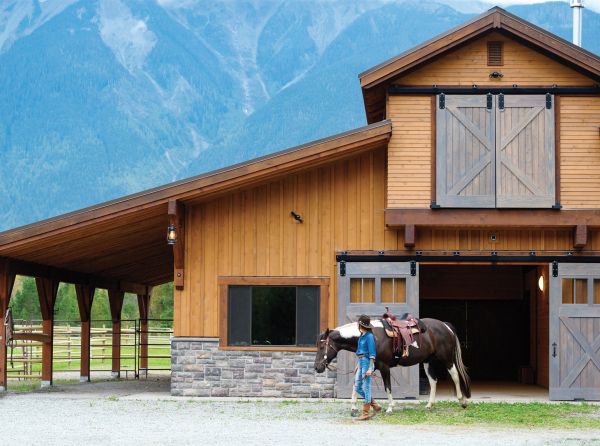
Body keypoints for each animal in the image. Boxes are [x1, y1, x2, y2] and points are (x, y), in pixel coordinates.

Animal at [314, 318, 468, 414]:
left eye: (322, 346)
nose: (317, 367)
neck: (372, 336)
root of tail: (445, 326)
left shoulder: (384, 366)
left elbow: (387, 387)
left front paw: (390, 408)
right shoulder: (370, 366)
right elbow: (356, 384)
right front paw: (353, 407)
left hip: (447, 358)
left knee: (455, 375)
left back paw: (462, 401)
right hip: (427, 361)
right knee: (433, 381)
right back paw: (430, 405)